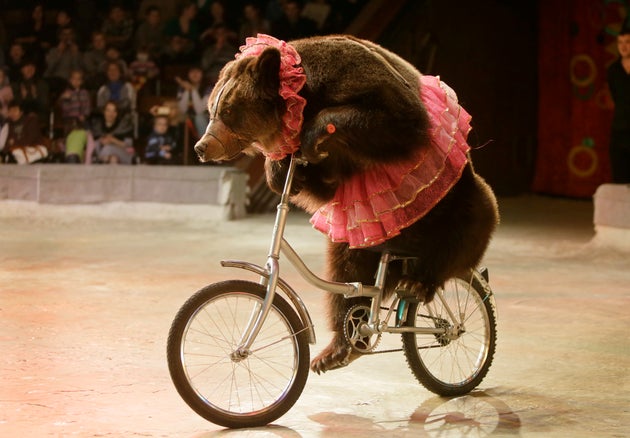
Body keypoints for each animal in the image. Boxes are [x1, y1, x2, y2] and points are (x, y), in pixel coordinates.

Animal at [195, 35, 502, 372]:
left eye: (227, 110)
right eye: (213, 107)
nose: (201, 147)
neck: (302, 99)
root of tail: (403, 253)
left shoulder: (354, 82)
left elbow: (395, 116)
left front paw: (312, 135)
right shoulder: (333, 166)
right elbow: (319, 184)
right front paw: (279, 172)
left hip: (452, 203)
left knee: (466, 228)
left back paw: (420, 283)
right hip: (364, 239)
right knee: (347, 268)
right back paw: (338, 348)